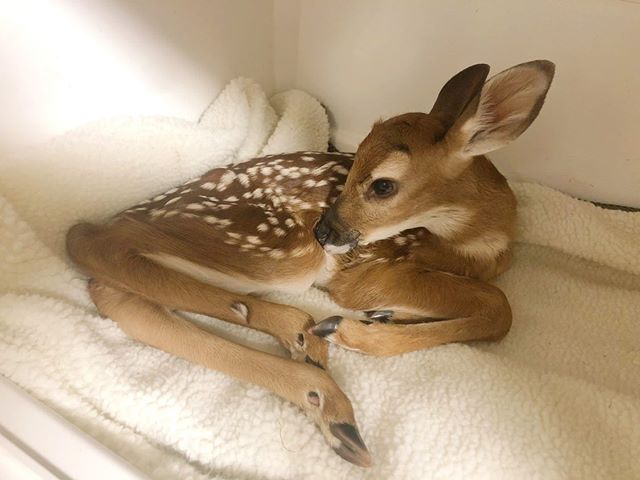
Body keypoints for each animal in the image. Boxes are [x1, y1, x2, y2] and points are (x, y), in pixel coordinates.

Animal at [66, 61, 556, 468]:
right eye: (352, 163)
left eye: (383, 185)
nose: (327, 230)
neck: (481, 239)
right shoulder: (369, 271)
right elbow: (499, 308)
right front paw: (363, 329)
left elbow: (493, 303)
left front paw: (388, 316)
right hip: (282, 249)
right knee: (93, 245)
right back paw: (310, 345)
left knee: (121, 293)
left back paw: (313, 368)